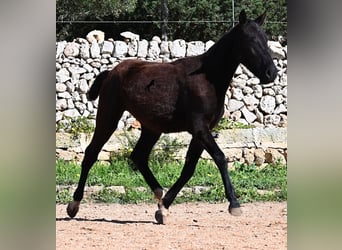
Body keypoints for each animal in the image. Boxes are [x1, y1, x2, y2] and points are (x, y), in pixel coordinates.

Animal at [67, 10, 278, 225]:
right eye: (250, 40)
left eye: (266, 39)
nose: (271, 73)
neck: (207, 79)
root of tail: (111, 72)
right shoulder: (199, 128)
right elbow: (220, 158)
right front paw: (234, 204)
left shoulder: (202, 132)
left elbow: (189, 168)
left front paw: (164, 208)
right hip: (109, 116)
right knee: (91, 153)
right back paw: (74, 205)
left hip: (152, 128)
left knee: (138, 156)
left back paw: (158, 192)